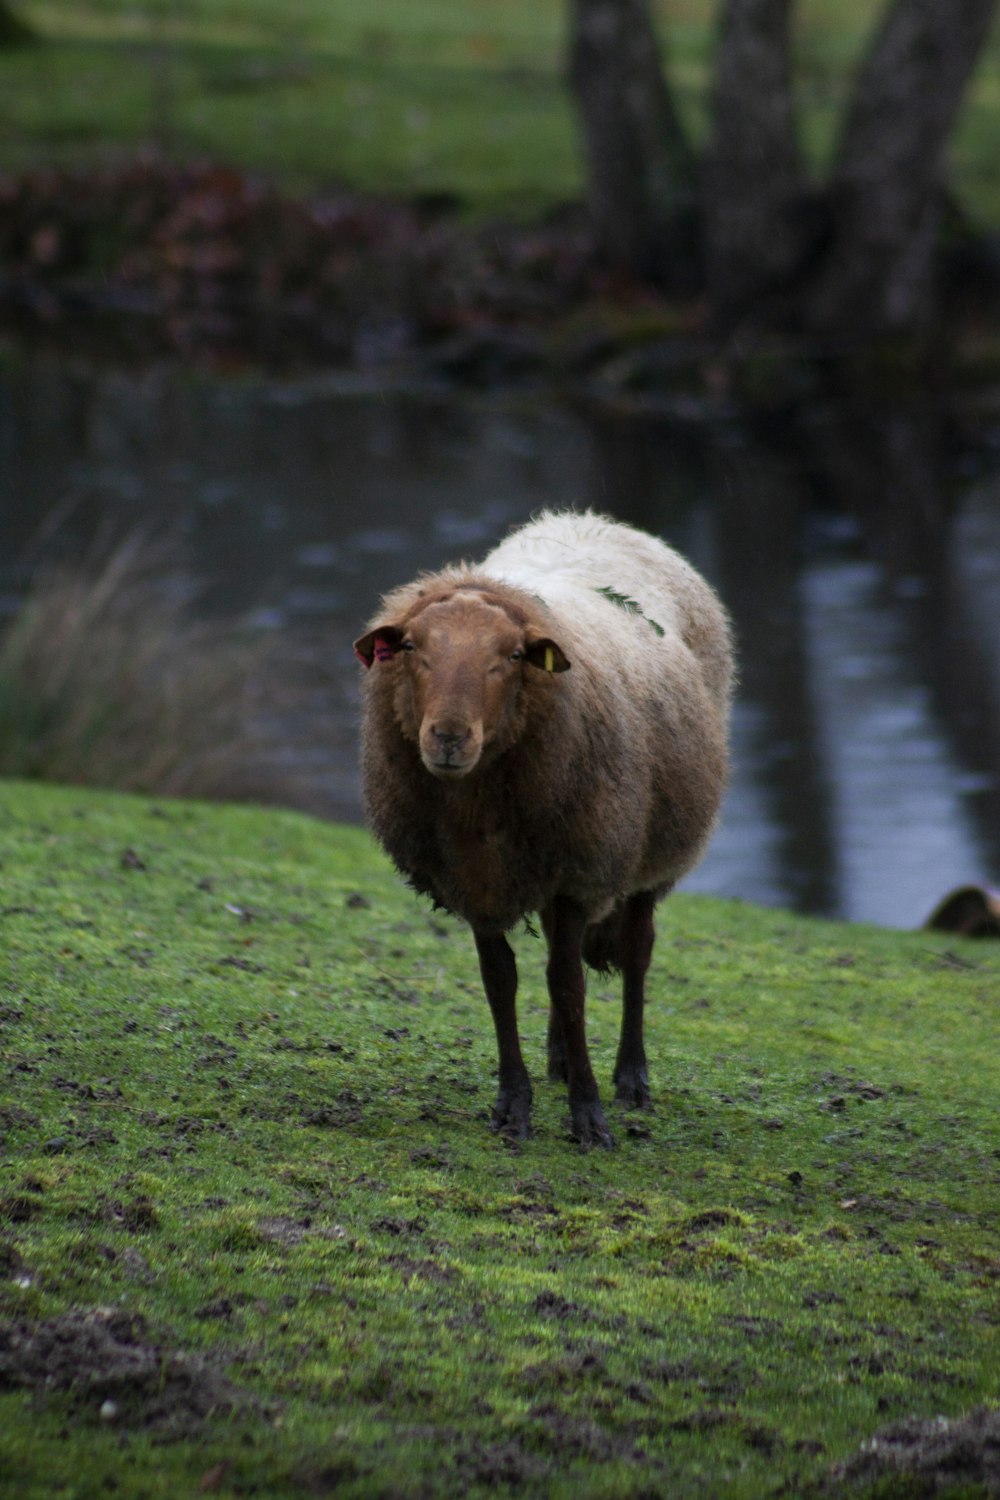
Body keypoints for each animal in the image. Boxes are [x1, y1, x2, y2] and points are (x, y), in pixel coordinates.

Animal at [353, 510, 734, 1140]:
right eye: (409, 646)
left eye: (512, 656)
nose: (449, 737)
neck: (477, 811)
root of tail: (593, 520)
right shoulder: (476, 884)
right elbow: (501, 980)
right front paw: (514, 1104)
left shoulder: (580, 871)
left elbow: (568, 983)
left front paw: (589, 1115)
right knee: (562, 950)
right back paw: (558, 1058)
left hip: (651, 850)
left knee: (636, 952)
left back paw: (631, 1078)